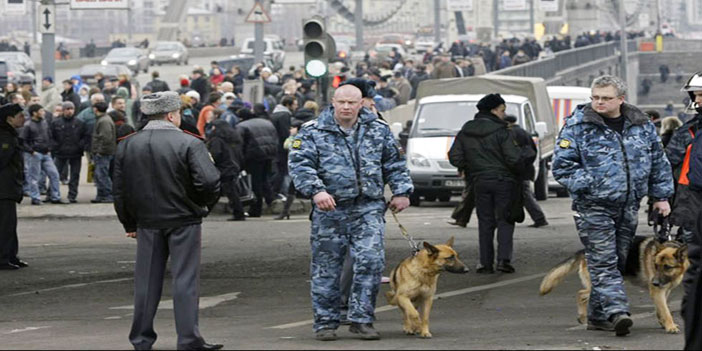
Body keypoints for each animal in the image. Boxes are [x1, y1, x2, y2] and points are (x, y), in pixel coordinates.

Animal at [540, 236, 692, 332]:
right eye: (655, 266)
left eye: (667, 267)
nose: (654, 282)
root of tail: (585, 250)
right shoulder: (657, 291)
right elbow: (666, 311)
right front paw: (670, 326)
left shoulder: (664, 291)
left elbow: (661, 309)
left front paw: (663, 323)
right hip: (598, 283)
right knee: (580, 294)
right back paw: (583, 318)